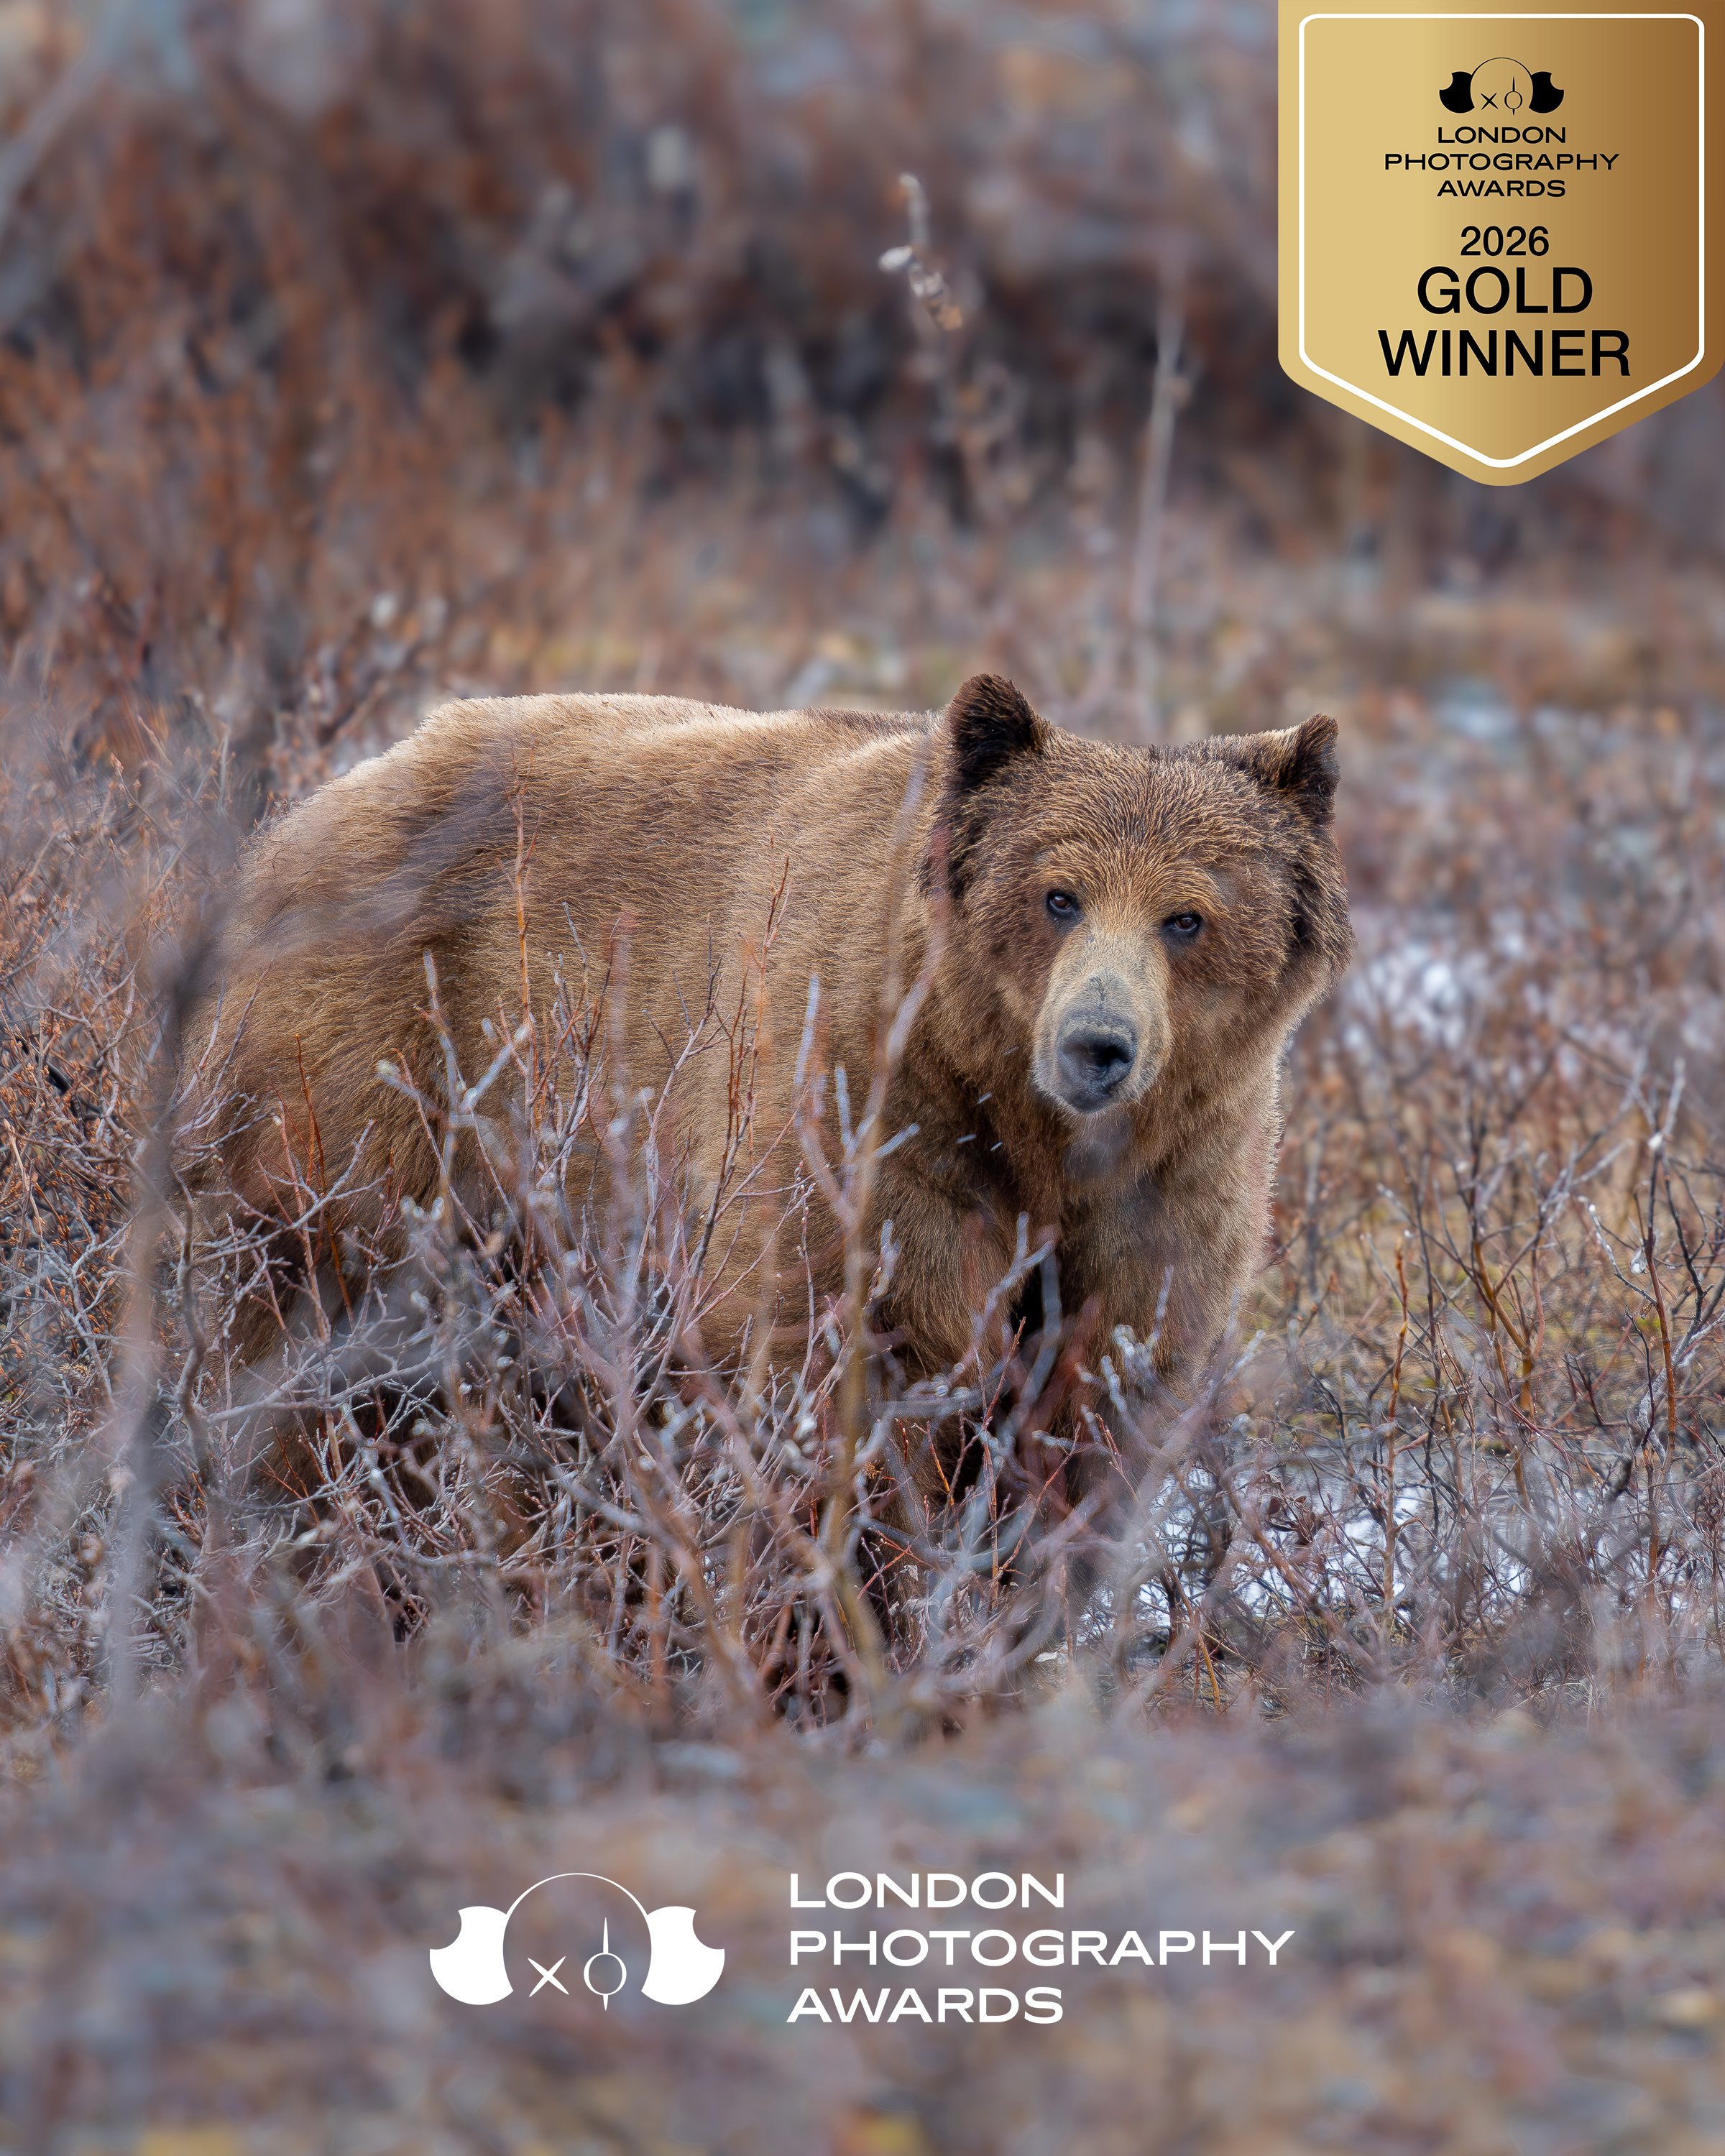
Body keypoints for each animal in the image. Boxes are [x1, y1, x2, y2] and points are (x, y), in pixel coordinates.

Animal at [183, 676, 1351, 1425]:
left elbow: (1105, 1392)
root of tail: (321, 795)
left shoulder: (1173, 1181)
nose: (1097, 1045)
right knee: (311, 1292)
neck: (1025, 1129)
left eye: (1188, 917)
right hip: (385, 1071)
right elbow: (847, 1351)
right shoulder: (867, 1113)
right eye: (1057, 895)